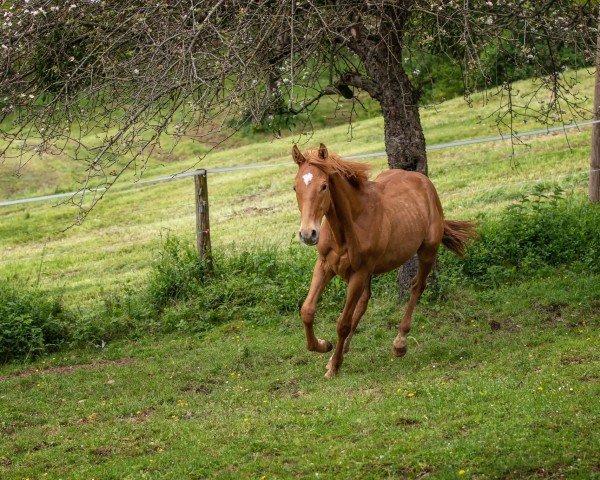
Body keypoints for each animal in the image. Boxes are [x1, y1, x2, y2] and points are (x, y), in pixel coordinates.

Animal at [292, 143, 476, 378]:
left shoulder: (359, 272)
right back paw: (342, 351)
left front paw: (334, 366)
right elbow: (307, 311)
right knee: (364, 301)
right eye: (295, 187)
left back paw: (400, 343)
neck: (349, 226)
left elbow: (342, 323)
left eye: (324, 186)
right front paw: (324, 347)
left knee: (417, 287)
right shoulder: (325, 265)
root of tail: (423, 181)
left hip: (427, 251)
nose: (308, 234)